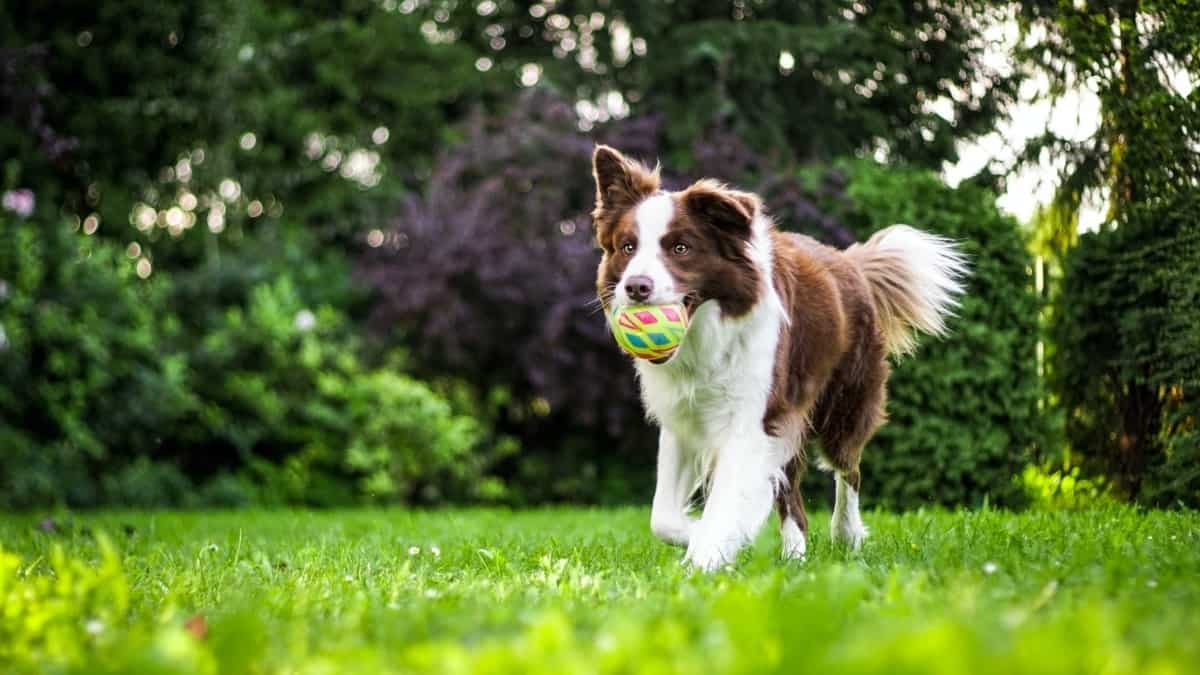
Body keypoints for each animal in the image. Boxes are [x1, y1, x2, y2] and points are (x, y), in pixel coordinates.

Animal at [595, 145, 969, 566]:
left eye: (681, 248)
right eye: (628, 247)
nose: (636, 287)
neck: (706, 337)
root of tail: (850, 262)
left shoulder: (751, 418)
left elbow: (726, 500)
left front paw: (706, 555)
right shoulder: (684, 418)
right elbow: (662, 517)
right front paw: (710, 538)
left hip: (844, 404)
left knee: (848, 468)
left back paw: (846, 534)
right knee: (792, 493)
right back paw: (794, 555)